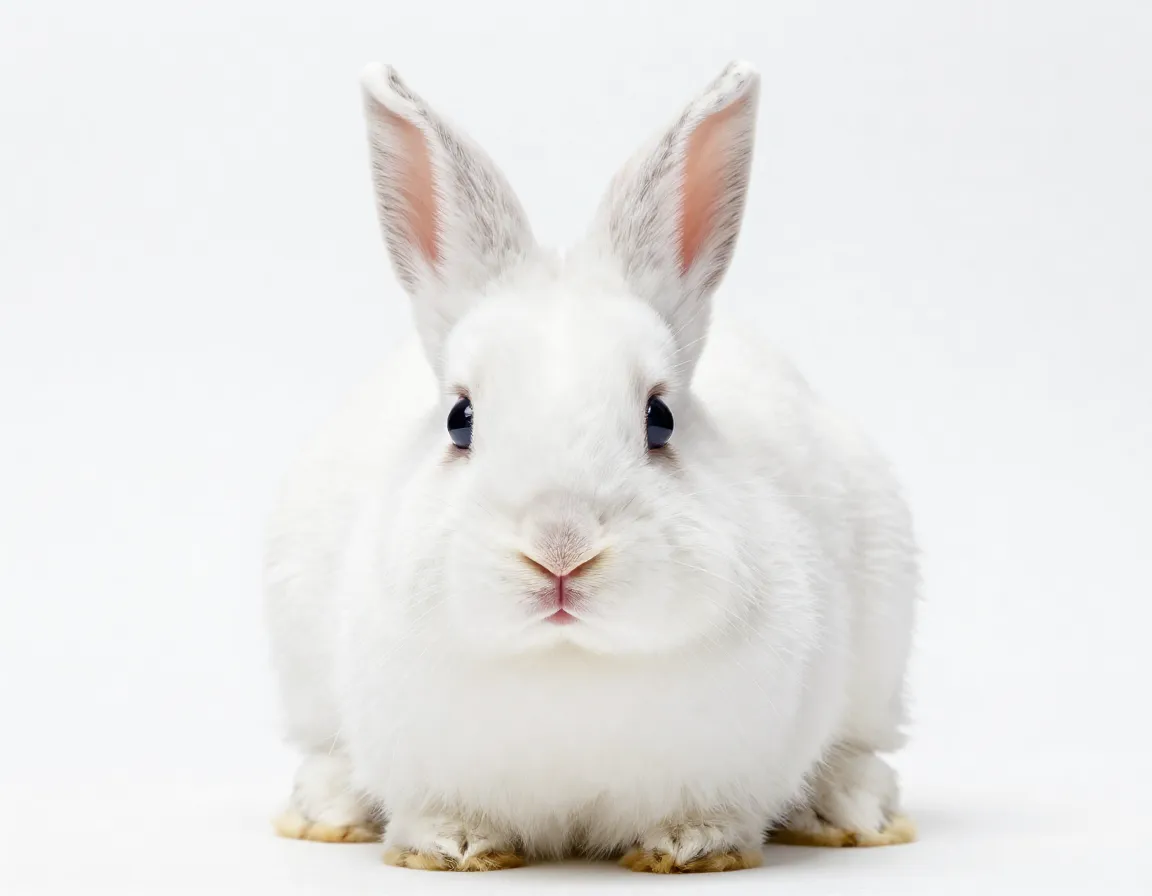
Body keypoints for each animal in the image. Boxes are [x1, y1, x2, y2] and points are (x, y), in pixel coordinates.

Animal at [263, 59, 919, 873]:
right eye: (459, 420)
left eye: (659, 419)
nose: (561, 548)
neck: (567, 660)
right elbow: (436, 812)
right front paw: (455, 846)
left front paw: (688, 849)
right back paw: (327, 811)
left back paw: (849, 813)